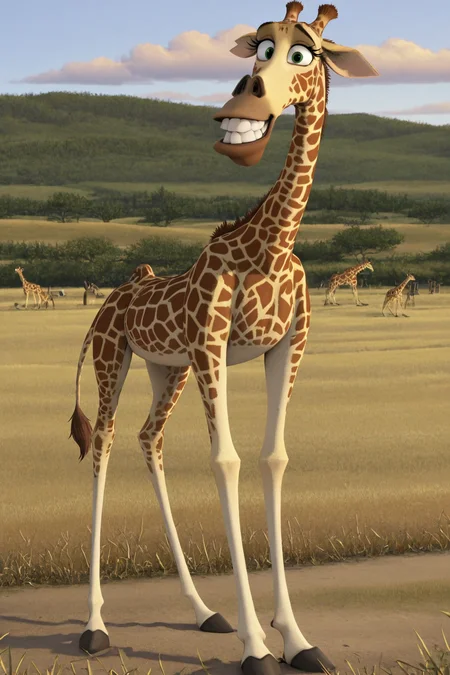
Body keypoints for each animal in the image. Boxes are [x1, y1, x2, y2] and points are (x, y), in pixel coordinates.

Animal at [69, 4, 378, 673]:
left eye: (303, 53)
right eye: (259, 46)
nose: (246, 97)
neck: (273, 247)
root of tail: (113, 297)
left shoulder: (289, 345)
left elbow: (273, 458)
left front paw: (296, 637)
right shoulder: (213, 344)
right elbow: (226, 461)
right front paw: (258, 646)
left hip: (168, 368)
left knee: (149, 438)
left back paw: (204, 611)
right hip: (116, 357)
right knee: (103, 443)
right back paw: (95, 624)